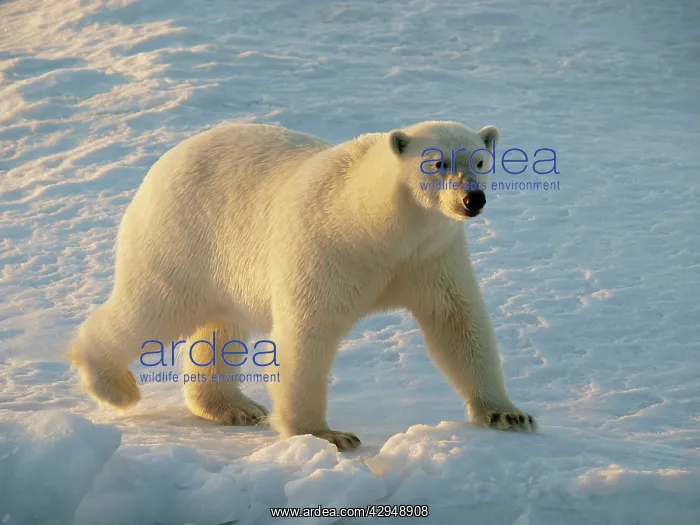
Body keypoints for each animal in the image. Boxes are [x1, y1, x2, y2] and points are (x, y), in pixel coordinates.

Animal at [69, 120, 537, 450]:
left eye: (480, 162)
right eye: (437, 163)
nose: (472, 199)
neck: (377, 229)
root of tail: (164, 162)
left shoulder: (429, 256)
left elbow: (456, 322)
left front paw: (509, 415)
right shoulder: (326, 247)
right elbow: (307, 333)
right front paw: (326, 435)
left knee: (220, 326)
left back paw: (233, 407)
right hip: (181, 238)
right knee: (154, 309)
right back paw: (113, 385)